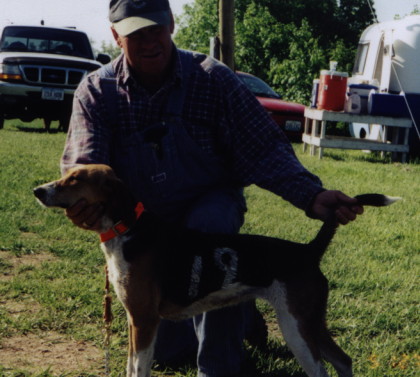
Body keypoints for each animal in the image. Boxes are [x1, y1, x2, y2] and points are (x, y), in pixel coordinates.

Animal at [34, 164, 398, 376]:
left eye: (75, 179)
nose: (38, 190)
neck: (129, 229)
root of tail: (308, 250)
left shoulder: (145, 320)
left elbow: (139, 368)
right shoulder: (134, 319)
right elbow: (130, 366)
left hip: (296, 327)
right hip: (311, 322)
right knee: (343, 361)